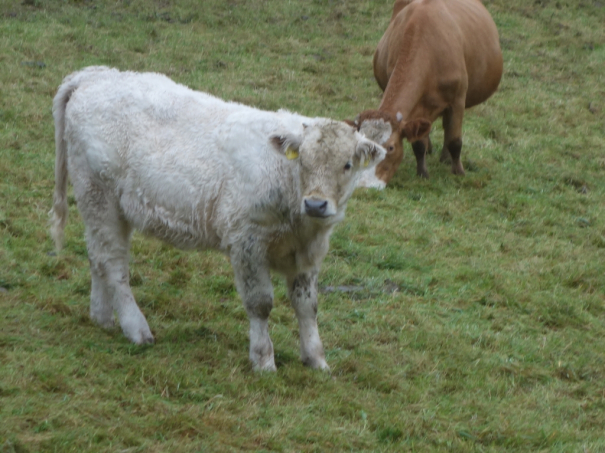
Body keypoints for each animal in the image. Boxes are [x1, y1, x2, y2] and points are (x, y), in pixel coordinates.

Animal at [354, 0, 500, 185]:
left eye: (390, 147)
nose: (366, 182)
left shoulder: (458, 100)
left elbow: (455, 141)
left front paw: (458, 172)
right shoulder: (417, 108)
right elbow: (418, 143)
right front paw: (423, 173)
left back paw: (446, 157)